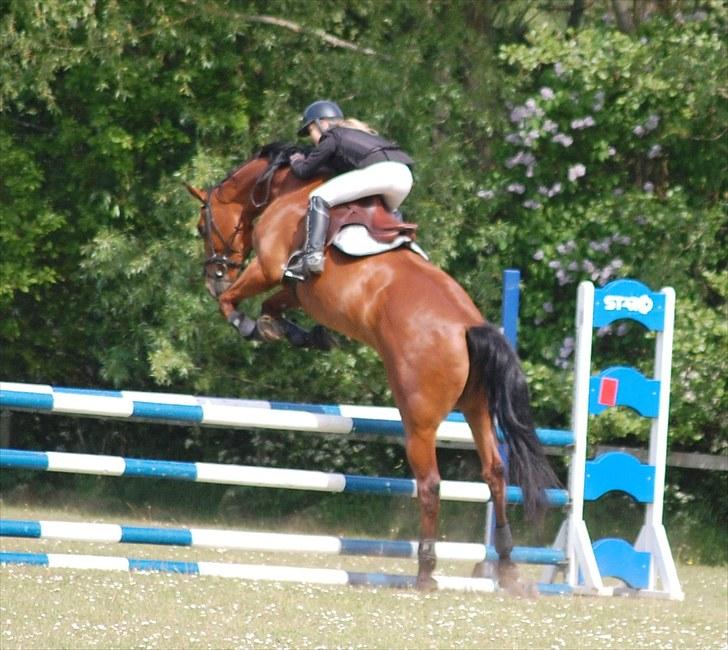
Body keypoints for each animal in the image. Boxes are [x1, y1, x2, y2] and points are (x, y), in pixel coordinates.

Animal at [188, 144, 556, 588]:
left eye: (201, 226)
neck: (286, 189)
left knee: (430, 484)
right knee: (495, 474)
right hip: (477, 408)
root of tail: (468, 327)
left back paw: (426, 572)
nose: (214, 278)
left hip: (418, 418)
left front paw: (247, 324)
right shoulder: (296, 289)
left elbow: (237, 304)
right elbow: (274, 307)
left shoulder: (269, 268)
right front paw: (298, 334)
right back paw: (506, 566)